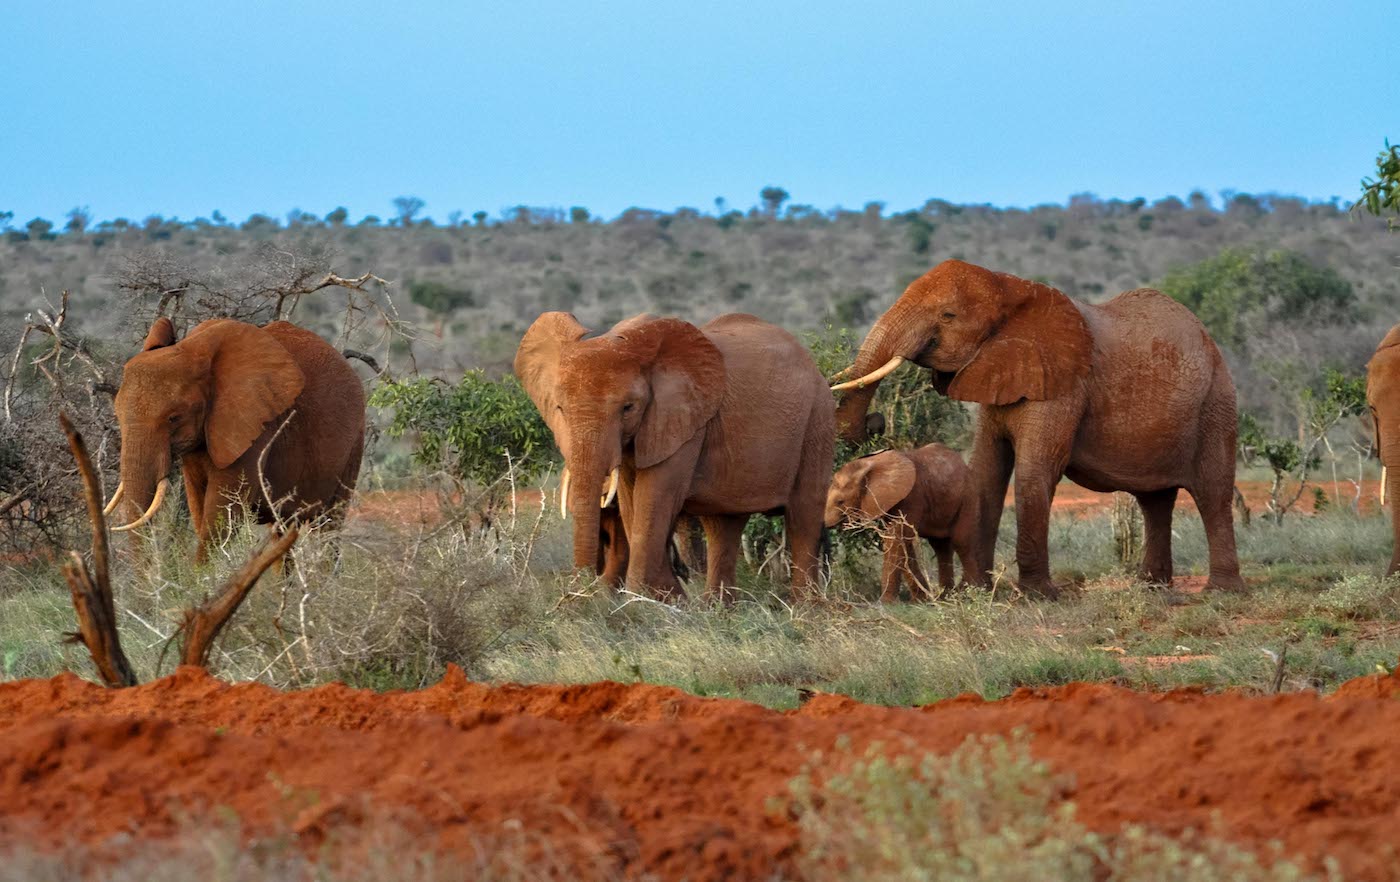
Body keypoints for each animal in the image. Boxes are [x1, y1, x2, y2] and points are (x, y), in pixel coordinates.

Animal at [107, 316, 366, 560]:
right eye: (117, 414)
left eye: (173, 418)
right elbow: (199, 508)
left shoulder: (254, 428)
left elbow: (221, 516)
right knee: (281, 532)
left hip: (355, 443)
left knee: (329, 527)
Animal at [520, 312, 834, 602]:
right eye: (559, 408)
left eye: (628, 408)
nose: (577, 597)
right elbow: (632, 503)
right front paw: (669, 601)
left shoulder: (684, 420)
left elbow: (654, 497)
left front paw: (641, 603)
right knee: (724, 525)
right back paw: (718, 611)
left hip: (817, 419)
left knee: (803, 515)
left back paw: (804, 611)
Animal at [817, 445, 985, 604]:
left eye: (840, 502)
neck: (870, 464)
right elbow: (902, 542)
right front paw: (920, 599)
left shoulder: (912, 496)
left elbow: (897, 538)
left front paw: (885, 603)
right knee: (941, 546)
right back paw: (946, 596)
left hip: (969, 497)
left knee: (961, 542)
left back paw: (966, 592)